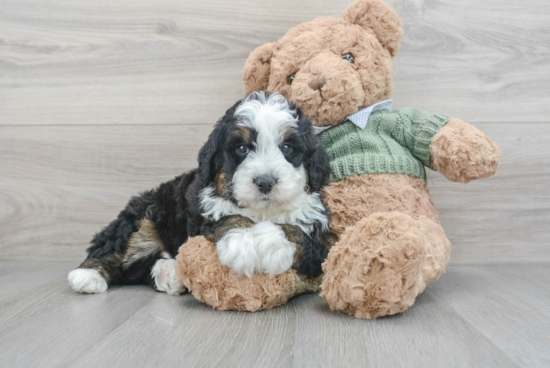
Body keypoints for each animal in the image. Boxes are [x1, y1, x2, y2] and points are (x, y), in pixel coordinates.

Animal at [67, 90, 330, 294]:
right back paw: (88, 275)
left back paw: (168, 273)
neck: (261, 212)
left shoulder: (318, 239)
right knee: (115, 245)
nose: (265, 182)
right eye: (242, 149)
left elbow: (298, 233)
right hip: (145, 211)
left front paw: (269, 241)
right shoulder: (201, 211)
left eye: (287, 148)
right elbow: (227, 218)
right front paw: (242, 243)